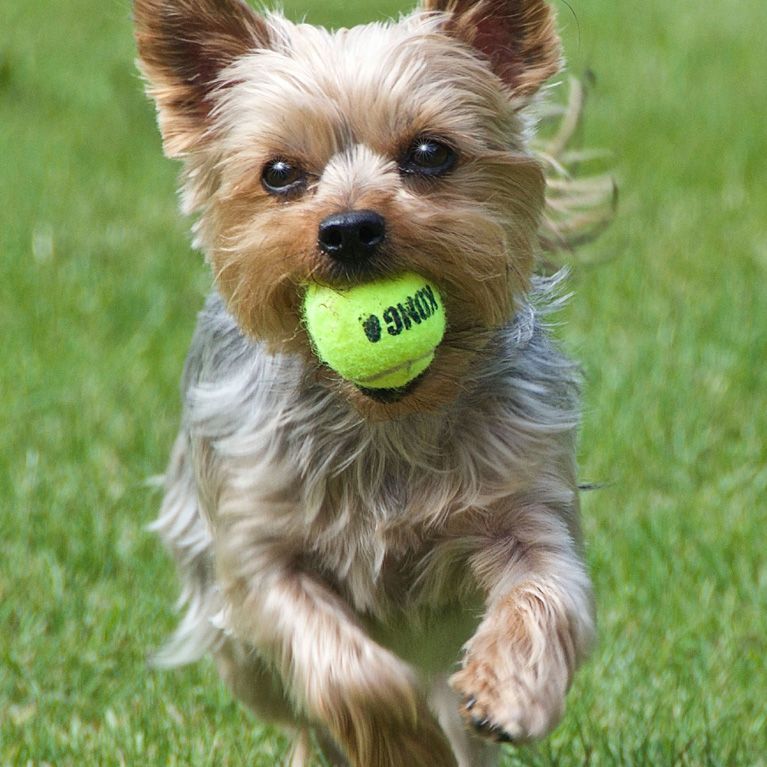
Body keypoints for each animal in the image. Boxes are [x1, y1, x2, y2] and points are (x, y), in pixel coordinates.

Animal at [135, 1, 596, 767]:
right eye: (280, 173)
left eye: (431, 153)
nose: (350, 228)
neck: (385, 420)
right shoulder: (258, 551)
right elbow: (347, 676)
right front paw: (404, 743)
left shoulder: (523, 502)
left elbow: (545, 591)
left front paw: (508, 689)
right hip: (230, 632)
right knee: (298, 714)